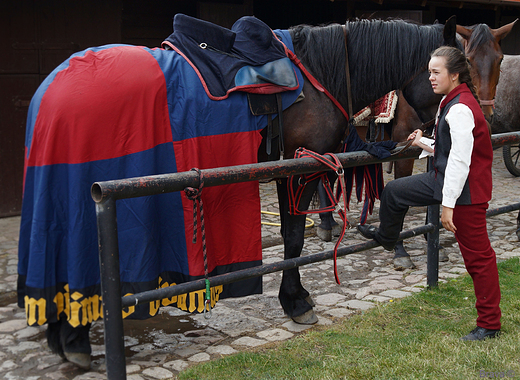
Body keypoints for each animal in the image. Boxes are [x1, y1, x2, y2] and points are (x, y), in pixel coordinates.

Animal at [16, 14, 458, 368]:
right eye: (460, 69)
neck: (322, 73)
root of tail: (50, 90)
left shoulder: (287, 170)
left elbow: (292, 237)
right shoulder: (299, 168)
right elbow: (293, 239)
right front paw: (296, 302)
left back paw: (66, 337)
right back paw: (74, 340)